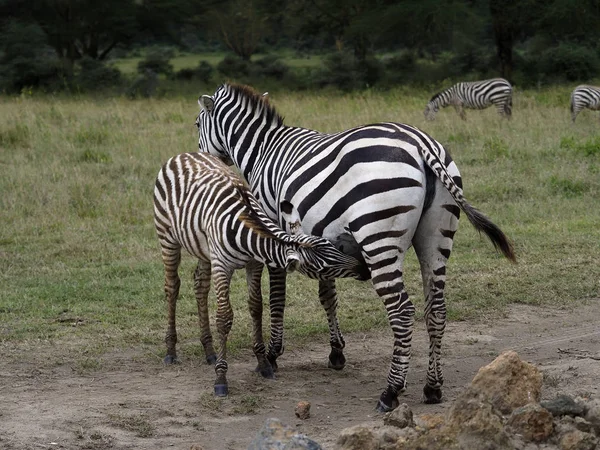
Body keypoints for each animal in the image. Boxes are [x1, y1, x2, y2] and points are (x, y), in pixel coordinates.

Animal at [152, 152, 368, 398]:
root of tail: (182, 155)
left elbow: (256, 307)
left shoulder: (253, 265)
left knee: (200, 285)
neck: (246, 229)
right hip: (167, 238)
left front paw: (263, 363)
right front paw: (221, 379)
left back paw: (209, 350)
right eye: (322, 269)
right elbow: (224, 318)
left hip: (203, 248)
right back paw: (170, 350)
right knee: (172, 287)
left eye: (333, 246)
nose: (364, 269)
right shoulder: (222, 266)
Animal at [193, 83, 516, 412]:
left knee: (402, 310)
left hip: (378, 237)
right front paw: (336, 352)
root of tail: (420, 143)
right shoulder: (319, 236)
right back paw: (432, 387)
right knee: (436, 309)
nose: (203, 159)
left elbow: (278, 297)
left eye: (196, 124)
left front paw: (272, 355)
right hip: (437, 236)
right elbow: (328, 296)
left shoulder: (274, 230)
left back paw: (390, 391)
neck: (261, 150)